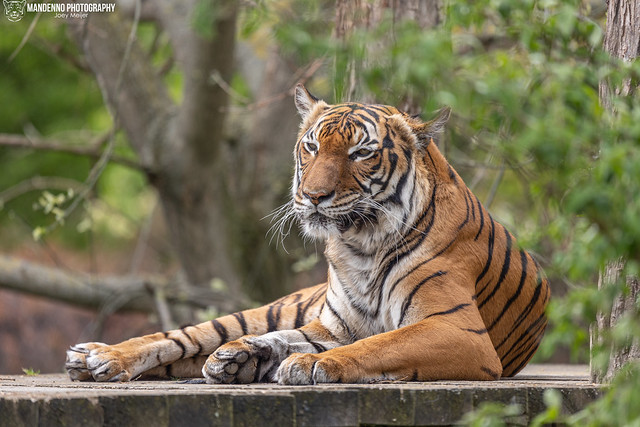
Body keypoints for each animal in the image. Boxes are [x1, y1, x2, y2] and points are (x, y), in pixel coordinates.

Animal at [66, 84, 552, 384]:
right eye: (312, 146)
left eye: (361, 153)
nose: (313, 196)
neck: (361, 245)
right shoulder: (334, 325)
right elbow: (352, 340)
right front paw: (267, 356)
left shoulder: (458, 330)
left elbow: (380, 343)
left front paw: (303, 363)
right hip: (258, 313)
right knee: (180, 338)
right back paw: (99, 357)